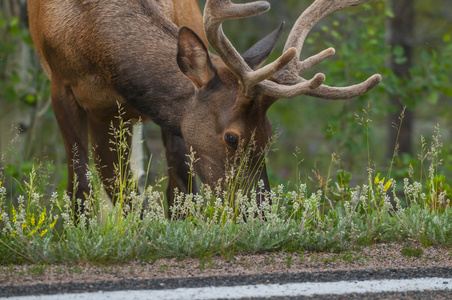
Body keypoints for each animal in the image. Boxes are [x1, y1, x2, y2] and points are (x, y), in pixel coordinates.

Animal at [27, 0, 382, 217]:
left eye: (268, 134)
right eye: (232, 138)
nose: (260, 210)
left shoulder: (167, 119)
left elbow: (180, 181)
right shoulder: (60, 86)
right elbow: (79, 184)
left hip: (117, 118)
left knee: (122, 180)